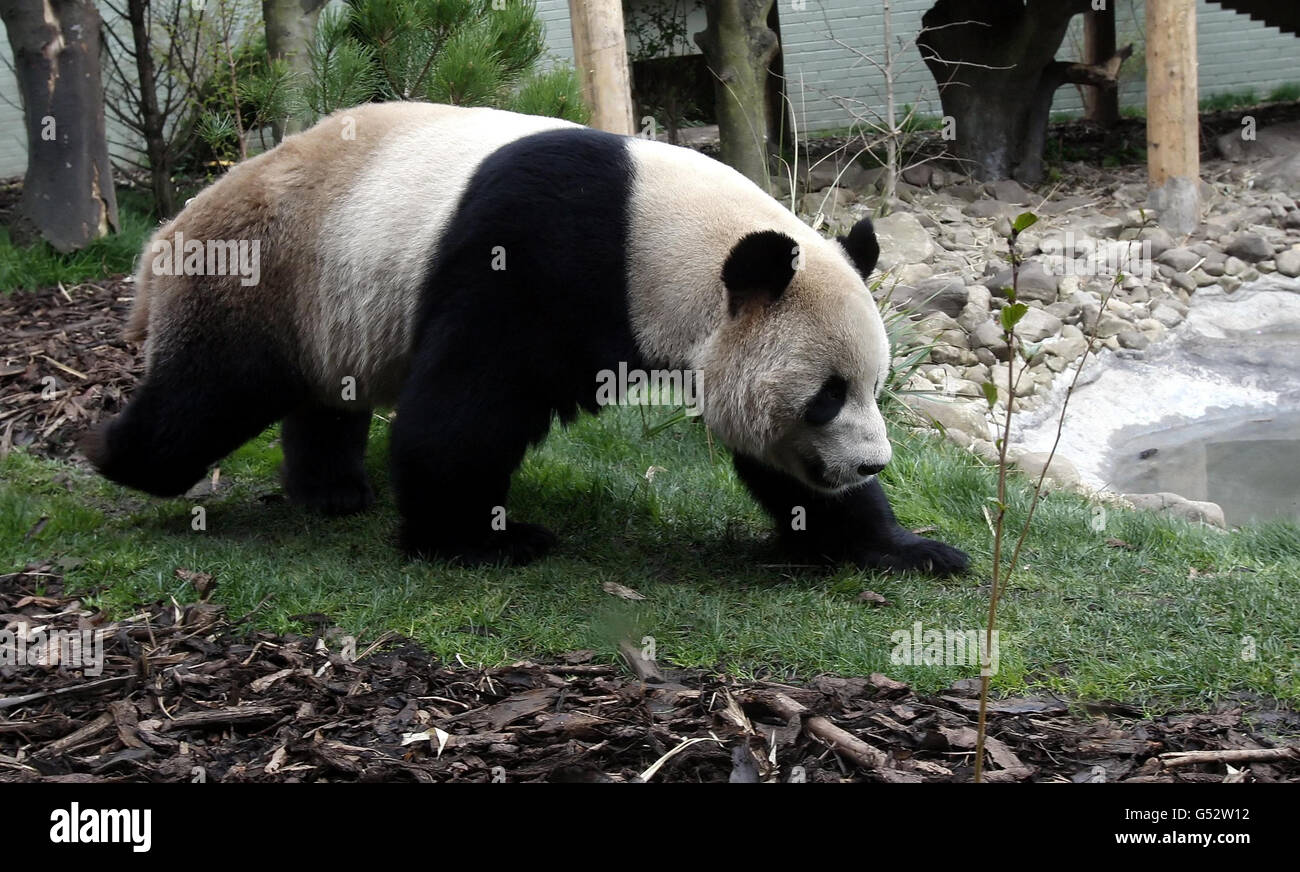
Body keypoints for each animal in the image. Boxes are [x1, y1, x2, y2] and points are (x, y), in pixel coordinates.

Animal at [83, 102, 967, 577]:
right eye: (825, 397)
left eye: (871, 389)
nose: (870, 464)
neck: (658, 233)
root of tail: (165, 234)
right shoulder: (532, 255)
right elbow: (463, 413)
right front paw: (478, 540)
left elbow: (773, 461)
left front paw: (902, 546)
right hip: (260, 271)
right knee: (207, 393)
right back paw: (110, 452)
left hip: (324, 301)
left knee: (320, 398)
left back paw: (331, 493)